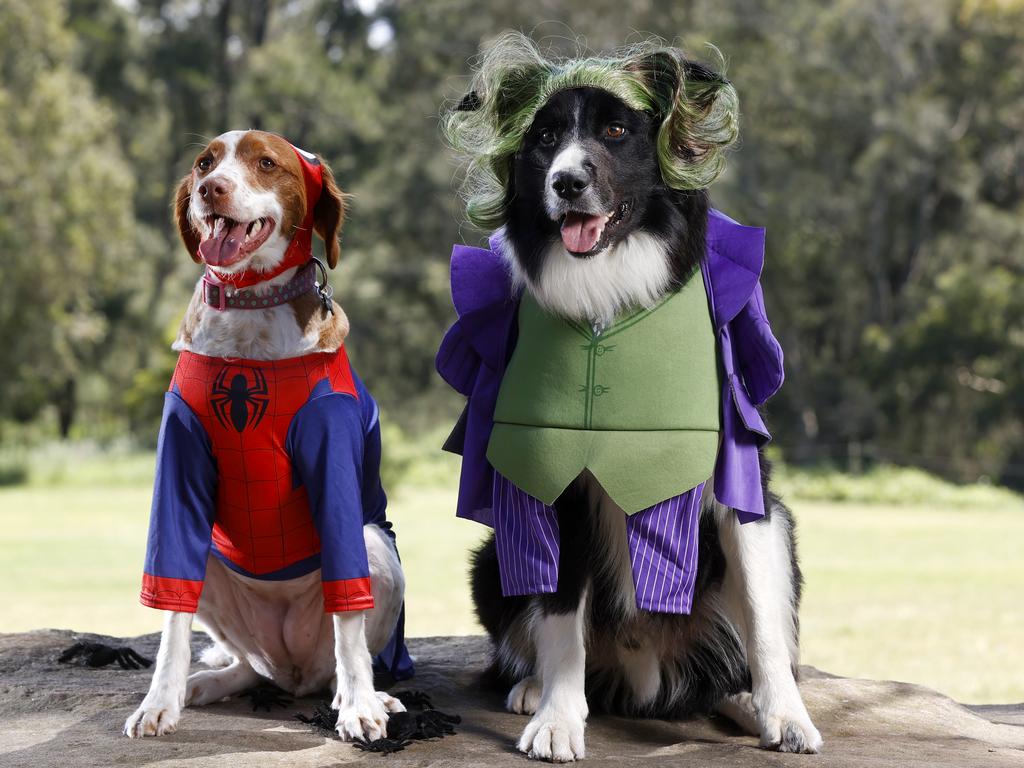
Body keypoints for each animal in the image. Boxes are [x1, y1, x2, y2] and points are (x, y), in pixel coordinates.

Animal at [121, 131, 405, 745]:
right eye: (204, 163)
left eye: (267, 163)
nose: (210, 189)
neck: (251, 307)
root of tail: (291, 668)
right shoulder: (178, 463)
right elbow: (170, 612)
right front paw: (160, 702)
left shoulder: (333, 460)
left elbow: (349, 616)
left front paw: (360, 709)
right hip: (216, 567)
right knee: (252, 668)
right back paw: (207, 683)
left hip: (375, 547)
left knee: (336, 661)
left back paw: (365, 694)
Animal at [468, 85, 819, 765]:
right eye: (544, 138)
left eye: (615, 130)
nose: (566, 182)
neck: (610, 290)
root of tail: (640, 673)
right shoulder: (555, 482)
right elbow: (561, 617)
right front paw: (557, 718)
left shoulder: (743, 489)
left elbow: (765, 621)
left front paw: (786, 716)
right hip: (491, 555)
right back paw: (532, 686)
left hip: (779, 538)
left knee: (729, 664)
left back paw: (745, 700)